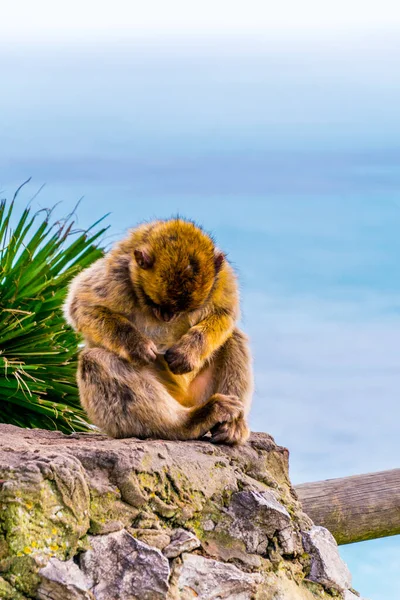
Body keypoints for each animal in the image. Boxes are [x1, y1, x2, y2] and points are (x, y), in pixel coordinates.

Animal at [65, 218, 253, 442]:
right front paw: (137, 346)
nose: (167, 317)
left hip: (196, 392)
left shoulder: (223, 276)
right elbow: (82, 305)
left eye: (185, 310)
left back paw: (231, 425)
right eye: (155, 303)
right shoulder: (117, 272)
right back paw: (188, 422)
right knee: (93, 360)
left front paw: (187, 353)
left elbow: (225, 312)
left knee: (233, 337)